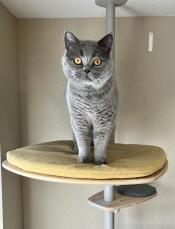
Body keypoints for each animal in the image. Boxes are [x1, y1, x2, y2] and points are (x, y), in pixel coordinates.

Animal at [61, 31, 116, 165]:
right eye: (77, 60)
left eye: (97, 62)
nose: (86, 70)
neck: (89, 95)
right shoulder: (78, 117)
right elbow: (82, 139)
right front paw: (84, 160)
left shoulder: (105, 118)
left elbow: (101, 141)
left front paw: (100, 161)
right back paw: (76, 150)